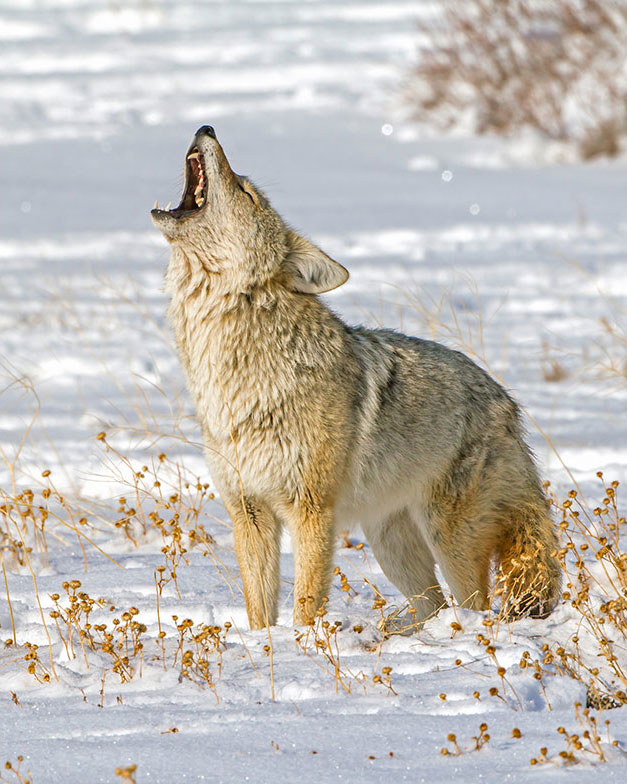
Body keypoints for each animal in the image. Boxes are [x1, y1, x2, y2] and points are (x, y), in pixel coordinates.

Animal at [151, 125, 561, 632]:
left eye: (246, 192)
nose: (206, 128)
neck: (234, 382)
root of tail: (507, 404)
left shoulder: (312, 512)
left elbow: (306, 603)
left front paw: (302, 644)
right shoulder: (250, 512)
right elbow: (259, 610)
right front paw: (264, 644)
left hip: (448, 540)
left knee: (474, 607)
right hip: (391, 544)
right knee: (434, 605)